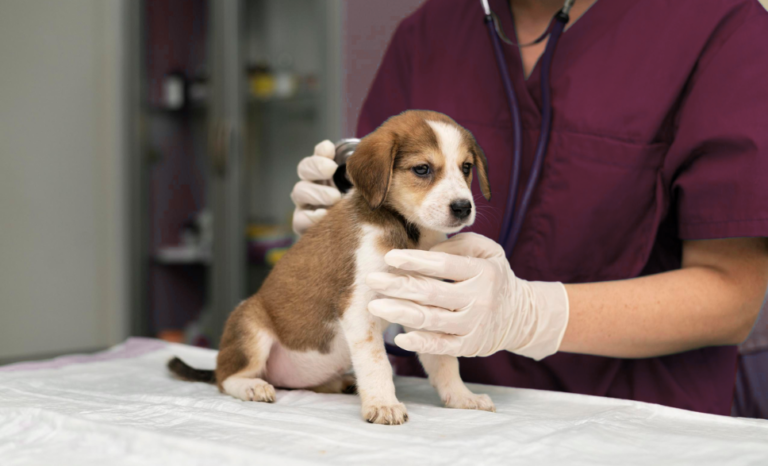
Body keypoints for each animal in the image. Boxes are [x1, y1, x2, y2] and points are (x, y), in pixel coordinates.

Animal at [169, 111, 496, 424]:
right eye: (422, 169)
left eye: (466, 167)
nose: (463, 207)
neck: (408, 231)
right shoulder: (359, 308)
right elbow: (377, 363)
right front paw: (383, 403)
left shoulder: (423, 306)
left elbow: (443, 361)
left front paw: (461, 396)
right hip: (250, 325)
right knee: (225, 378)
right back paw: (252, 386)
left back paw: (342, 383)